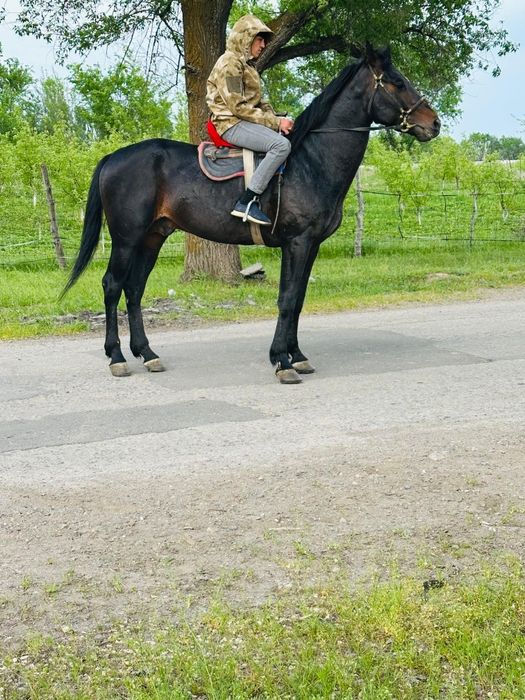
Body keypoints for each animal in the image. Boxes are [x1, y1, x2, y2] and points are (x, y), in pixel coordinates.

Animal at [62, 46, 440, 383]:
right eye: (396, 82)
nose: (434, 123)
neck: (311, 161)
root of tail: (114, 157)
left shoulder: (311, 245)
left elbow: (298, 299)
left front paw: (297, 355)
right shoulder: (297, 242)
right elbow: (286, 300)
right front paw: (282, 361)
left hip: (152, 237)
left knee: (134, 288)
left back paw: (147, 353)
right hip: (127, 239)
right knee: (113, 285)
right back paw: (116, 357)